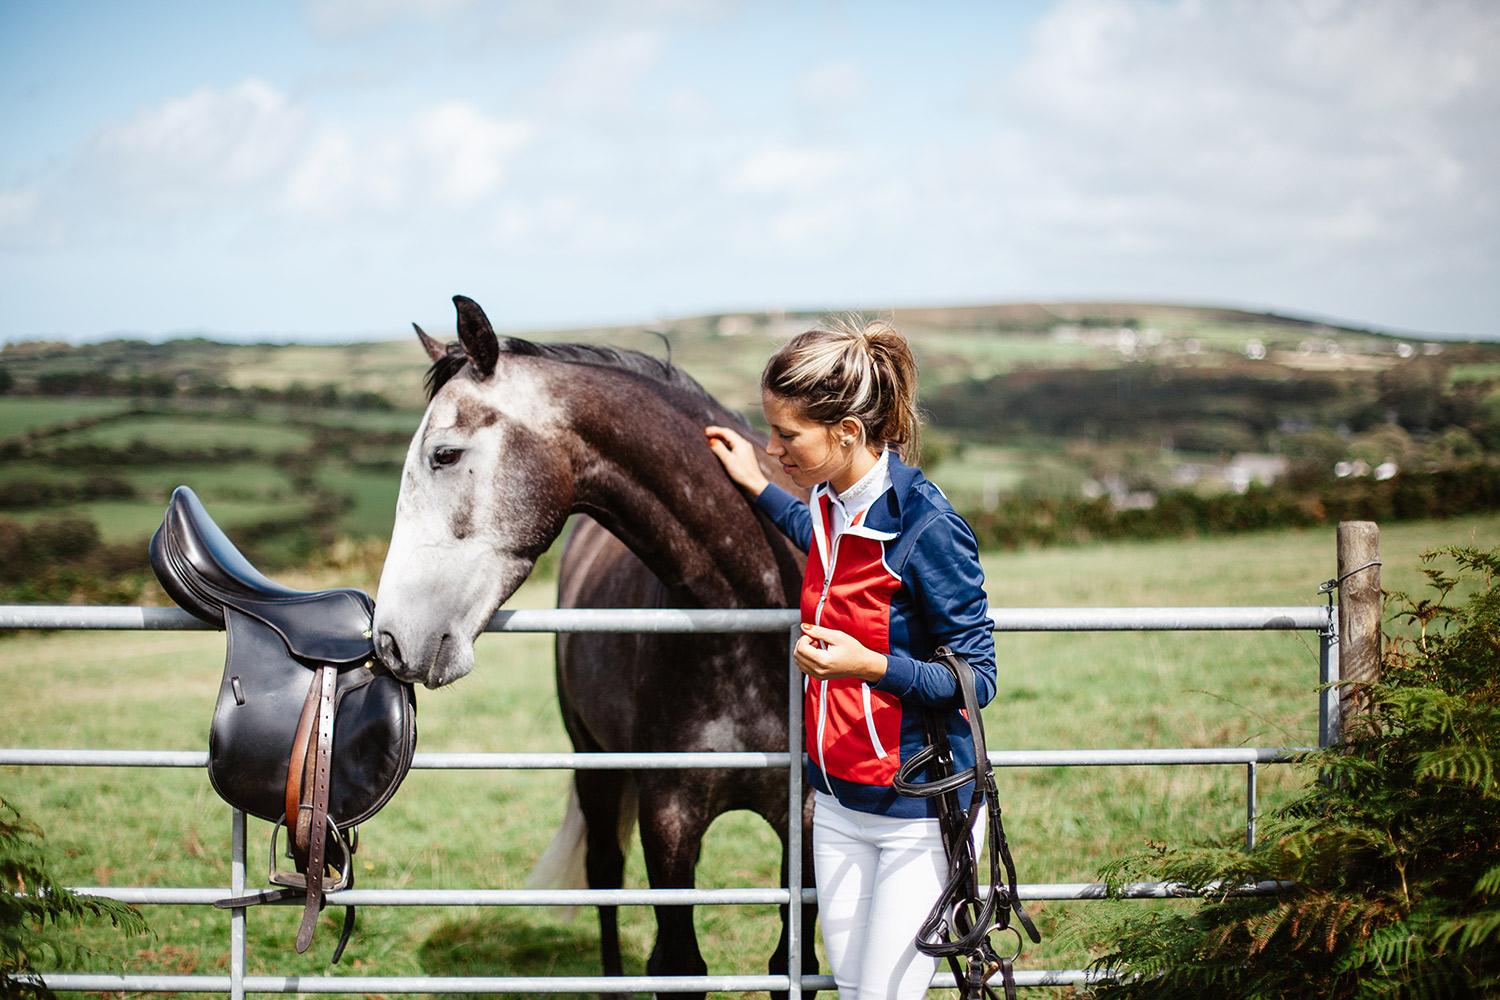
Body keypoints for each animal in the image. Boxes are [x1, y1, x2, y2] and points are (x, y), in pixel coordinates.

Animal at [372, 295, 818, 998]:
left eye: (443, 454)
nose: (390, 639)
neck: (751, 614)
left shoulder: (804, 823)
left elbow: (788, 963)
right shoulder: (669, 819)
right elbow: (677, 962)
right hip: (594, 762)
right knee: (606, 871)